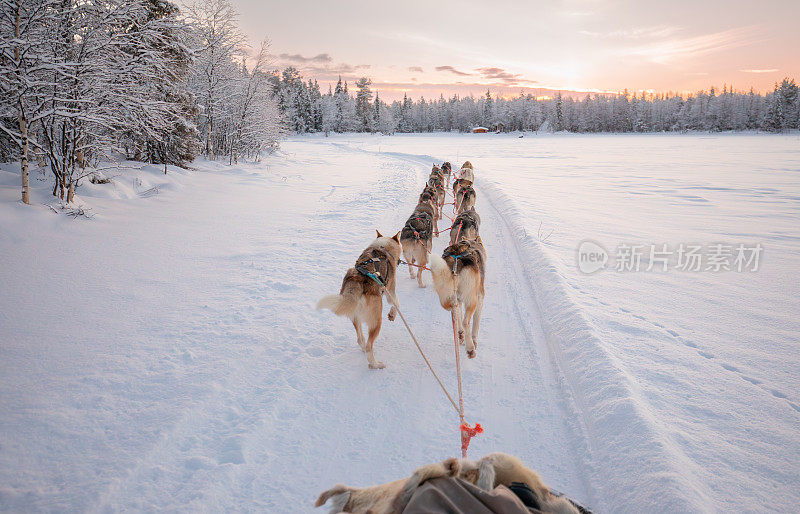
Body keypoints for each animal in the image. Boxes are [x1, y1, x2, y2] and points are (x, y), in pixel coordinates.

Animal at [318, 232, 404, 368]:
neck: (383, 248)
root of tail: (357, 281)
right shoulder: (390, 291)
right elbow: (396, 304)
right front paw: (392, 314)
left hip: (355, 317)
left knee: (360, 339)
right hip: (376, 321)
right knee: (369, 345)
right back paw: (375, 364)